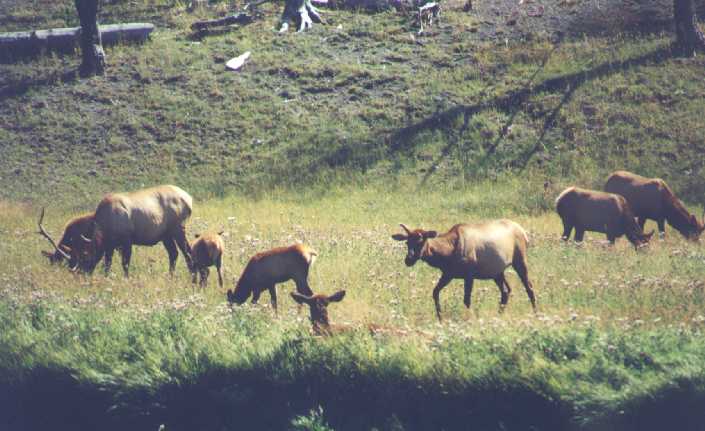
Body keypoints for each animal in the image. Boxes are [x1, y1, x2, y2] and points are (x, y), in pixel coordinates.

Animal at [390, 221, 532, 322]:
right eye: (407, 242)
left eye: (420, 241)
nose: (408, 260)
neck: (447, 254)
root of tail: (524, 233)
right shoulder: (448, 274)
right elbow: (435, 292)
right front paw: (440, 318)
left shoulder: (469, 275)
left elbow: (466, 299)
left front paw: (468, 319)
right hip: (497, 272)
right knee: (506, 290)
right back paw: (499, 315)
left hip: (520, 260)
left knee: (529, 287)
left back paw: (535, 313)